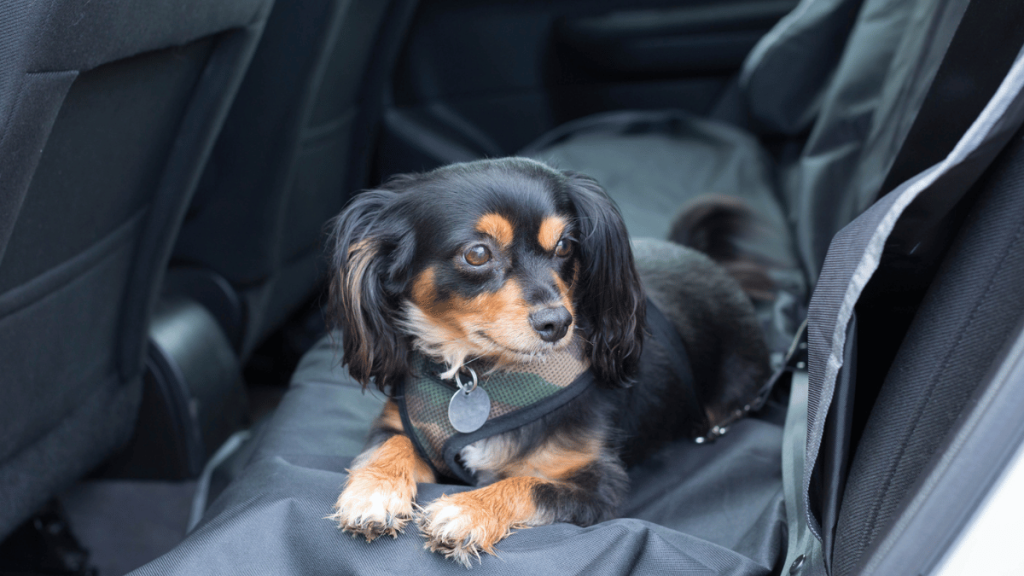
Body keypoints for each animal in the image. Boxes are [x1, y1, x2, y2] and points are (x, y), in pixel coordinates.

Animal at [325, 156, 770, 565]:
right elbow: (394, 443)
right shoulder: (395, 424)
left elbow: (527, 484)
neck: (482, 374)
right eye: (477, 253)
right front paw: (374, 491)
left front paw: (467, 510)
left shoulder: (599, 486)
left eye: (565, 246)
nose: (557, 322)